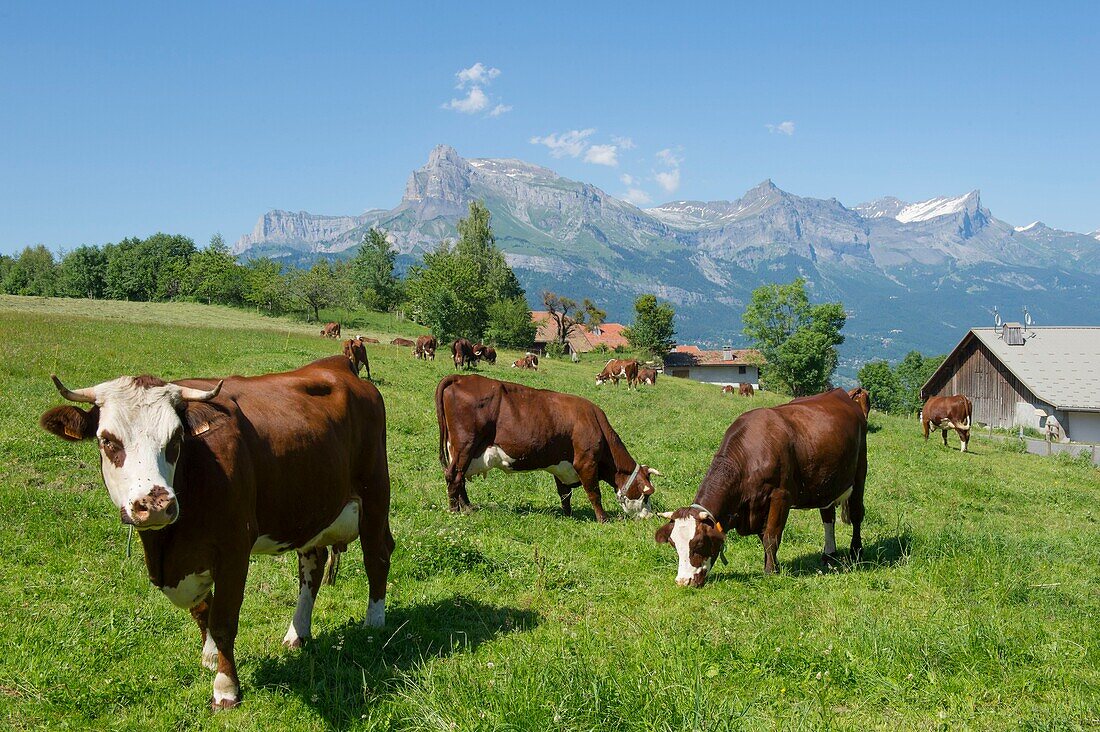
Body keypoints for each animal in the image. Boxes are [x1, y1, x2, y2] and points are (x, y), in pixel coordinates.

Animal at [38, 356, 391, 708]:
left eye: (175, 439)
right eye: (108, 440)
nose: (155, 504)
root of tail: (339, 364)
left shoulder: (234, 549)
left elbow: (222, 620)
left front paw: (226, 687)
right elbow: (202, 611)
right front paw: (209, 656)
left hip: (375, 494)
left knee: (378, 557)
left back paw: (374, 623)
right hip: (310, 510)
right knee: (312, 567)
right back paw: (297, 633)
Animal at [431, 374, 655, 521]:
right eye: (646, 495)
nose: (650, 516)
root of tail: (460, 377)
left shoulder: (562, 467)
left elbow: (565, 494)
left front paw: (569, 515)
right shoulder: (587, 462)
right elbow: (594, 493)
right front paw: (603, 519)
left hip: (459, 450)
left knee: (460, 478)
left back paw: (468, 507)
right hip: (465, 445)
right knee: (454, 476)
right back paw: (455, 511)